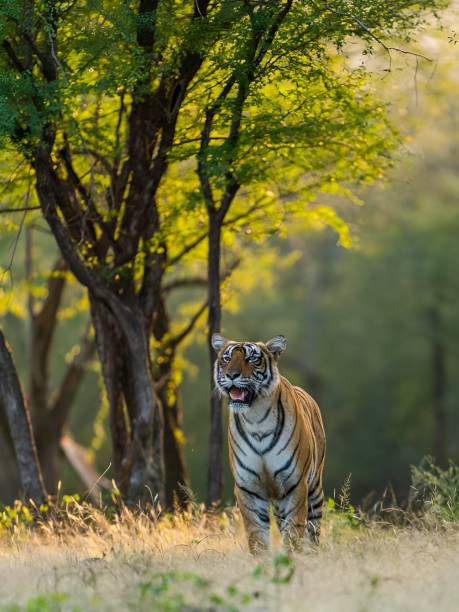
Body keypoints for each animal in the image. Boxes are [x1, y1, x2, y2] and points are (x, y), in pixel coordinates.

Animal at [213, 334, 328, 556]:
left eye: (251, 359)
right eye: (226, 358)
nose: (232, 375)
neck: (255, 417)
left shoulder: (295, 484)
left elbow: (294, 532)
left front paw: (292, 558)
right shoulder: (248, 487)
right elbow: (256, 534)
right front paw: (263, 560)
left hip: (314, 487)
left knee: (314, 528)